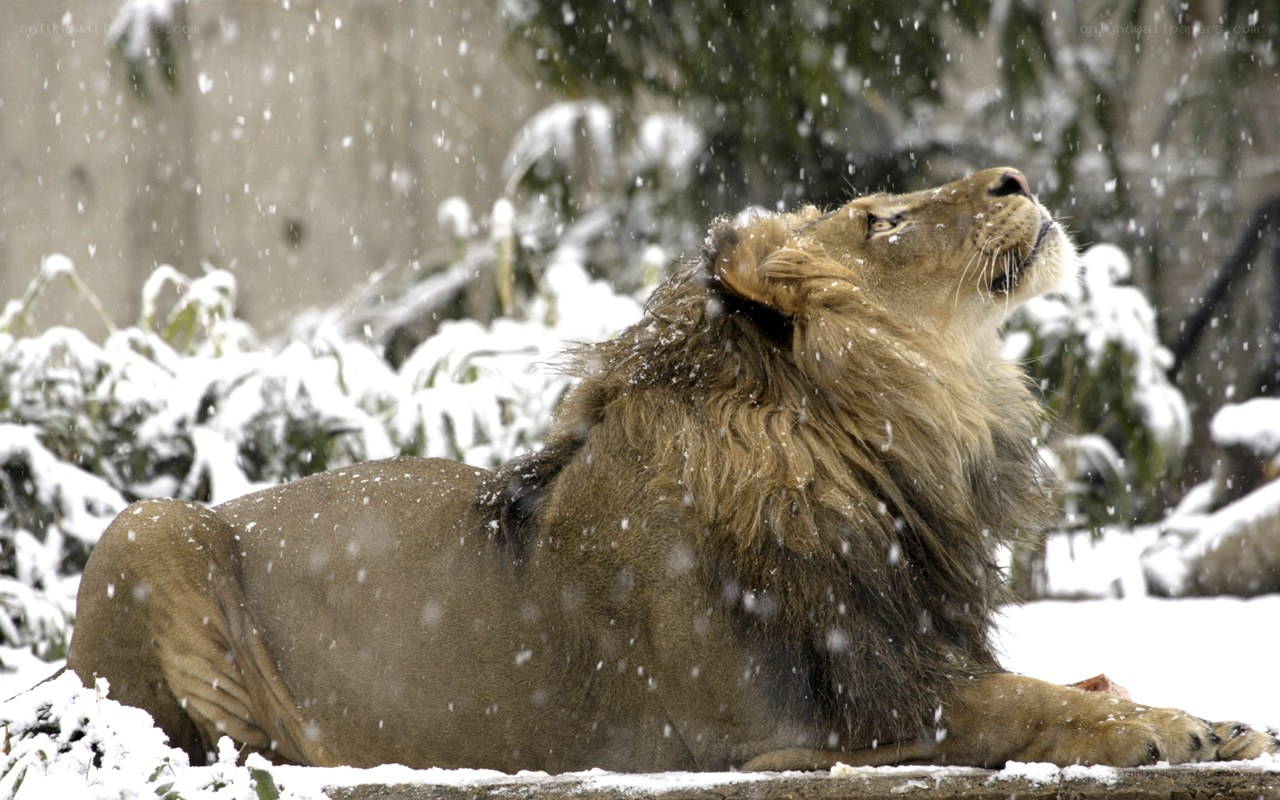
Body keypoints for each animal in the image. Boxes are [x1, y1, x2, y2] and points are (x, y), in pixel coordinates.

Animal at [67, 168, 1276, 772]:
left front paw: (1212, 718)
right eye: (878, 218)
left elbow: (1067, 682)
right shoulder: (785, 727)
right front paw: (1167, 728)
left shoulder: (902, 652)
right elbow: (1027, 707)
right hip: (150, 526)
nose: (1015, 175)